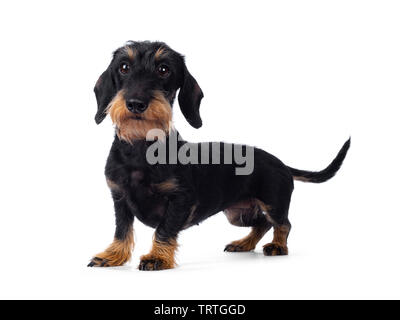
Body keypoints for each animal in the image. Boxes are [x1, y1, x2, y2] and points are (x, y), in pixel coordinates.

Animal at [88, 40, 350, 270]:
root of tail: (281, 163)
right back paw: (244, 243)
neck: (140, 150)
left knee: (283, 223)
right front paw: (113, 256)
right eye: (124, 67)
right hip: (238, 215)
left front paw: (157, 258)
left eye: (164, 69)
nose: (136, 103)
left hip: (273, 202)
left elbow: (163, 230)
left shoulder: (180, 199)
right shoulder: (119, 198)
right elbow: (122, 230)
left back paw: (277, 246)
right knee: (262, 223)